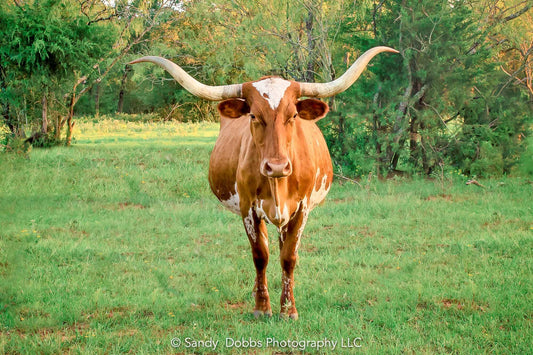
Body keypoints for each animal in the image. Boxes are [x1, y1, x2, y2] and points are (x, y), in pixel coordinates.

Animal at [128, 47, 394, 320]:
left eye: (293, 115)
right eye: (254, 115)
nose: (276, 167)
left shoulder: (302, 208)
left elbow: (289, 257)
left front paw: (288, 310)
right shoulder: (248, 208)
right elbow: (260, 255)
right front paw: (262, 307)